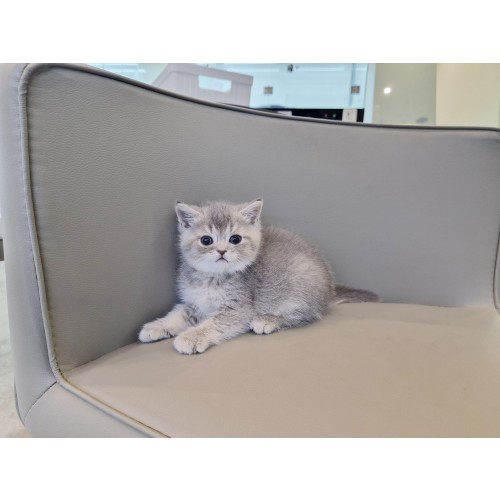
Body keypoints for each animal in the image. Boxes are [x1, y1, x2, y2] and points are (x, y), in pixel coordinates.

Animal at [138, 199, 379, 354]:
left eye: (235, 239)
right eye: (206, 240)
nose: (222, 251)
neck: (213, 278)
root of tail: (329, 286)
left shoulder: (239, 308)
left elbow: (214, 323)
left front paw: (191, 337)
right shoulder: (194, 304)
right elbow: (177, 314)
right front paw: (156, 327)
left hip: (301, 282)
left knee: (308, 314)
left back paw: (268, 320)